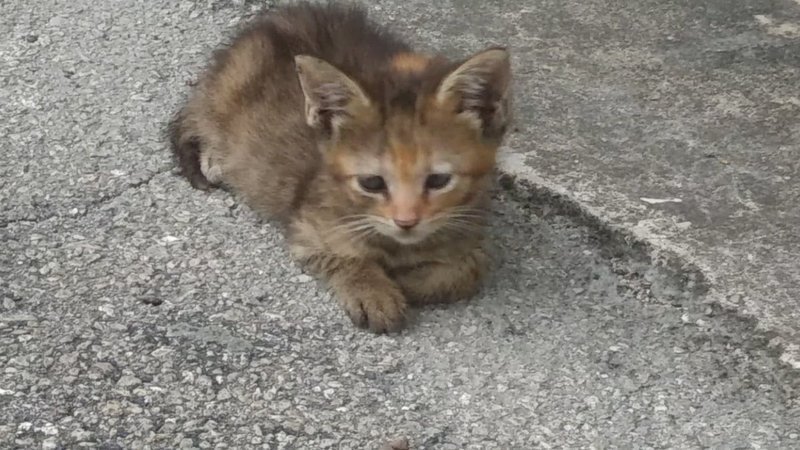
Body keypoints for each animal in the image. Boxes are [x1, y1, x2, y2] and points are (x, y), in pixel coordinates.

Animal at [168, 1, 512, 333]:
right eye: (372, 183)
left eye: (438, 180)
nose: (406, 222)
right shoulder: (308, 228)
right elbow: (345, 257)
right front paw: (374, 291)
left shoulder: (472, 231)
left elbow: (470, 270)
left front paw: (407, 281)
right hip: (225, 92)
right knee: (195, 115)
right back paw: (213, 157)